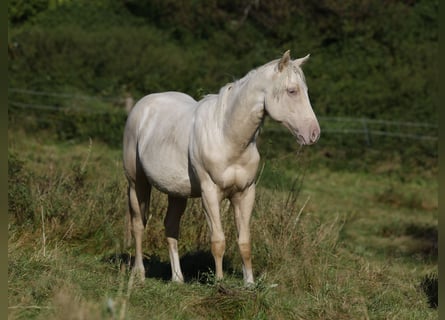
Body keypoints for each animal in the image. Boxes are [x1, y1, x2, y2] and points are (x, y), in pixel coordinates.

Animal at [123, 50, 318, 284]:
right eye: (292, 91)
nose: (313, 133)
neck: (227, 136)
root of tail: (142, 106)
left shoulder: (245, 193)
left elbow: (244, 242)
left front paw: (249, 284)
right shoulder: (210, 193)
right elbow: (218, 240)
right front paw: (219, 282)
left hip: (177, 192)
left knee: (171, 227)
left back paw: (177, 278)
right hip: (137, 184)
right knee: (138, 225)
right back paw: (139, 274)